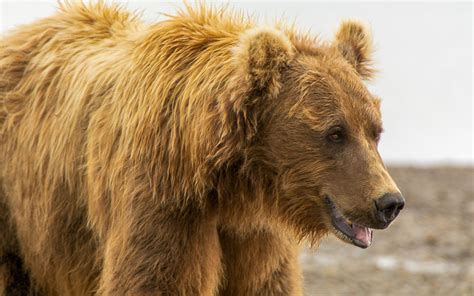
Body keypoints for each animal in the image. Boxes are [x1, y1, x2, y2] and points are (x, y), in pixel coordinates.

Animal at [0, 2, 404, 296]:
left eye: (375, 131)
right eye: (335, 133)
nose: (389, 202)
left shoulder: (253, 235)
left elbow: (264, 282)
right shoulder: (163, 202)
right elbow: (156, 280)